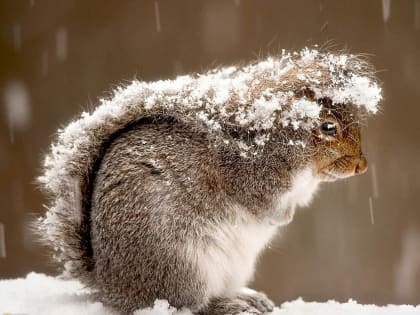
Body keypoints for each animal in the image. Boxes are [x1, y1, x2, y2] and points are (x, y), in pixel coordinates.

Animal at [37, 48, 382, 314]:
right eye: (328, 127)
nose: (362, 166)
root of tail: (111, 287)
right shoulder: (250, 178)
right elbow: (262, 205)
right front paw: (282, 217)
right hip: (181, 265)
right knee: (190, 305)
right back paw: (227, 305)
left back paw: (247, 297)